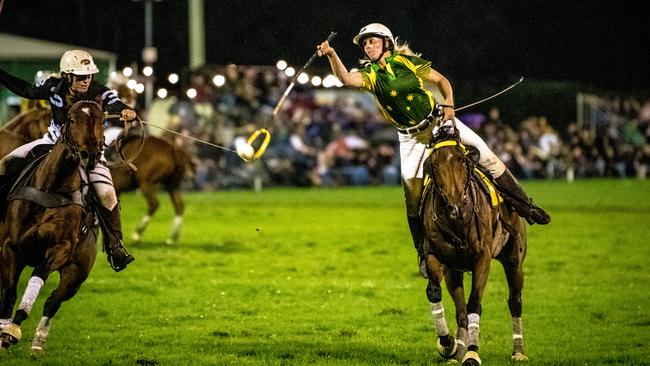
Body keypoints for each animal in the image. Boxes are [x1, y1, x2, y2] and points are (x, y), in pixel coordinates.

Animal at [0, 100, 104, 352]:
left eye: (102, 119)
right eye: (72, 119)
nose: (90, 156)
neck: (50, 188)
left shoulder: (60, 249)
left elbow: (39, 275)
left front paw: (13, 329)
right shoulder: (9, 247)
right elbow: (9, 292)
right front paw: (4, 329)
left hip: (76, 275)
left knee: (52, 302)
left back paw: (38, 342)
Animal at [420, 127, 528, 364]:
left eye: (462, 161)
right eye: (434, 165)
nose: (456, 207)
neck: (458, 223)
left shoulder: (482, 260)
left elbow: (474, 303)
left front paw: (472, 353)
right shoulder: (436, 256)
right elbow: (435, 292)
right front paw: (448, 344)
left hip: (514, 261)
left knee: (515, 301)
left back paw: (518, 351)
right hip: (454, 271)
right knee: (460, 311)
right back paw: (457, 349)